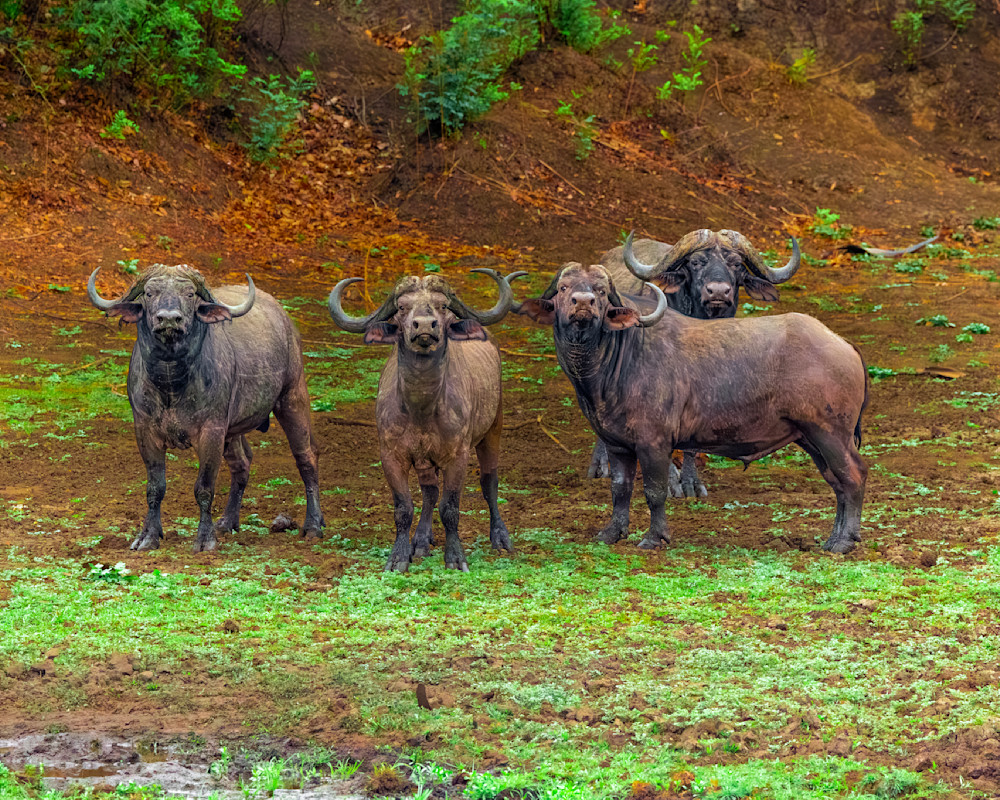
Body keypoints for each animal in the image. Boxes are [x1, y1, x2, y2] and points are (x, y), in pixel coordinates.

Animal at [88, 264, 324, 552]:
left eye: (190, 294)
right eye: (149, 293)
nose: (169, 319)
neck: (171, 383)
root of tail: (285, 321)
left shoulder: (211, 431)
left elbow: (204, 488)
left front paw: (204, 539)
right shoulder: (145, 431)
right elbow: (155, 487)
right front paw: (148, 537)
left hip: (293, 397)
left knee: (306, 457)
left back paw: (313, 525)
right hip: (234, 428)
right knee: (242, 463)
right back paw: (227, 521)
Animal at [328, 269, 523, 572]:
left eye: (442, 306)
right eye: (401, 307)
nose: (424, 326)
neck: (421, 408)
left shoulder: (458, 455)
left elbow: (450, 507)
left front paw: (455, 557)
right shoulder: (392, 455)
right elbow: (404, 508)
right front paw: (399, 556)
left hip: (494, 427)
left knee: (489, 482)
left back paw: (500, 537)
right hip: (424, 460)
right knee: (430, 491)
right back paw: (420, 541)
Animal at [516, 261, 868, 555]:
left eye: (601, 291)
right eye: (564, 288)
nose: (583, 302)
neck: (616, 360)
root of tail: (843, 344)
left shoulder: (654, 443)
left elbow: (655, 491)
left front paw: (654, 538)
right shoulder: (617, 445)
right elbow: (620, 490)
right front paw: (611, 533)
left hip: (831, 434)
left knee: (854, 476)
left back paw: (844, 542)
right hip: (810, 439)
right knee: (838, 483)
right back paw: (834, 539)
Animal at [586, 229, 803, 494]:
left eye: (736, 264)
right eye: (696, 262)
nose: (718, 292)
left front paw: (691, 482)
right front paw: (670, 482)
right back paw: (600, 466)